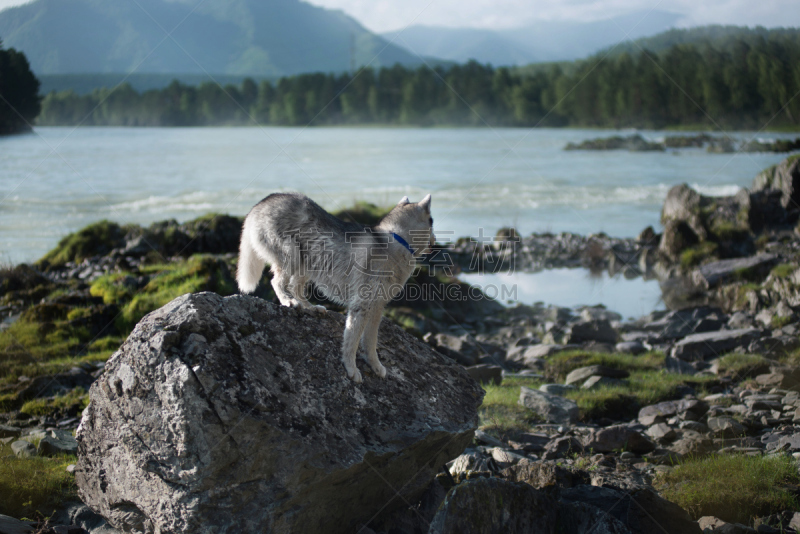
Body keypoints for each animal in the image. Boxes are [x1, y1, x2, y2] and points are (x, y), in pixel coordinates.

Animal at [236, 193, 434, 386]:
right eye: (432, 220)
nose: (435, 241)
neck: (396, 240)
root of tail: (259, 204)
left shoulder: (378, 306)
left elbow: (371, 340)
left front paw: (375, 365)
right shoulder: (361, 304)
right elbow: (352, 339)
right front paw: (351, 368)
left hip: (309, 262)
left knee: (295, 286)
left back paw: (309, 307)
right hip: (291, 254)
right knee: (277, 282)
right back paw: (288, 300)